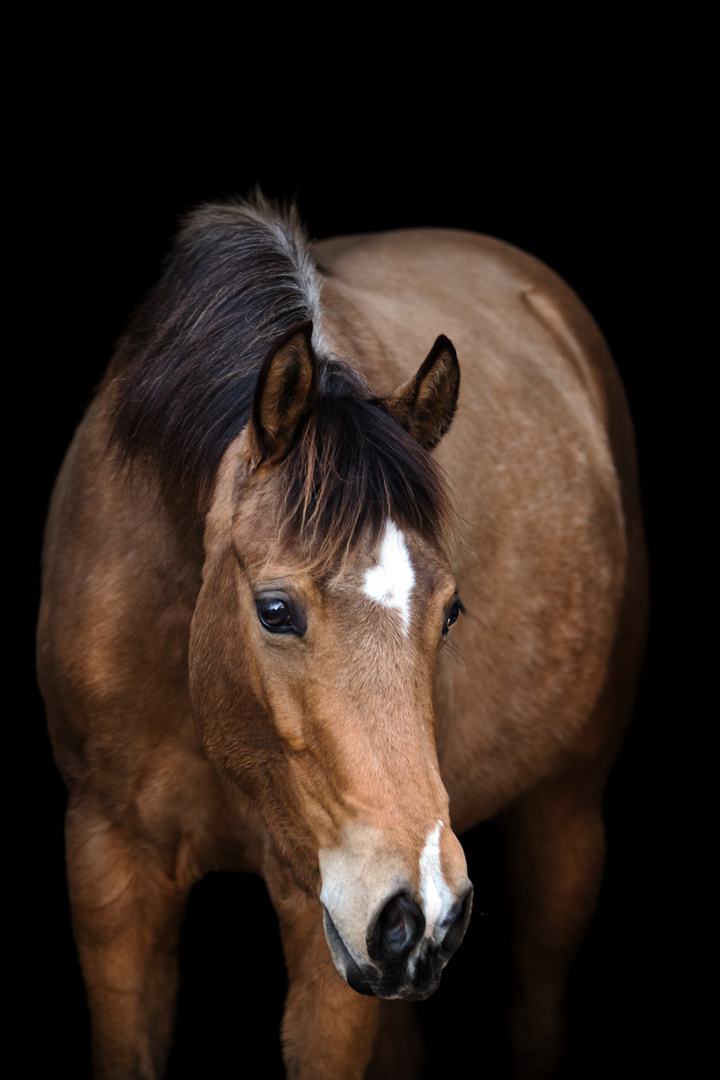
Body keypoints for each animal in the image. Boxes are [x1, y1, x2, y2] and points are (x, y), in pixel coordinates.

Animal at [36, 196, 651, 1080]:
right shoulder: (108, 862)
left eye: (450, 612)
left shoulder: (321, 904)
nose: (421, 912)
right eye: (274, 611)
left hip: (564, 818)